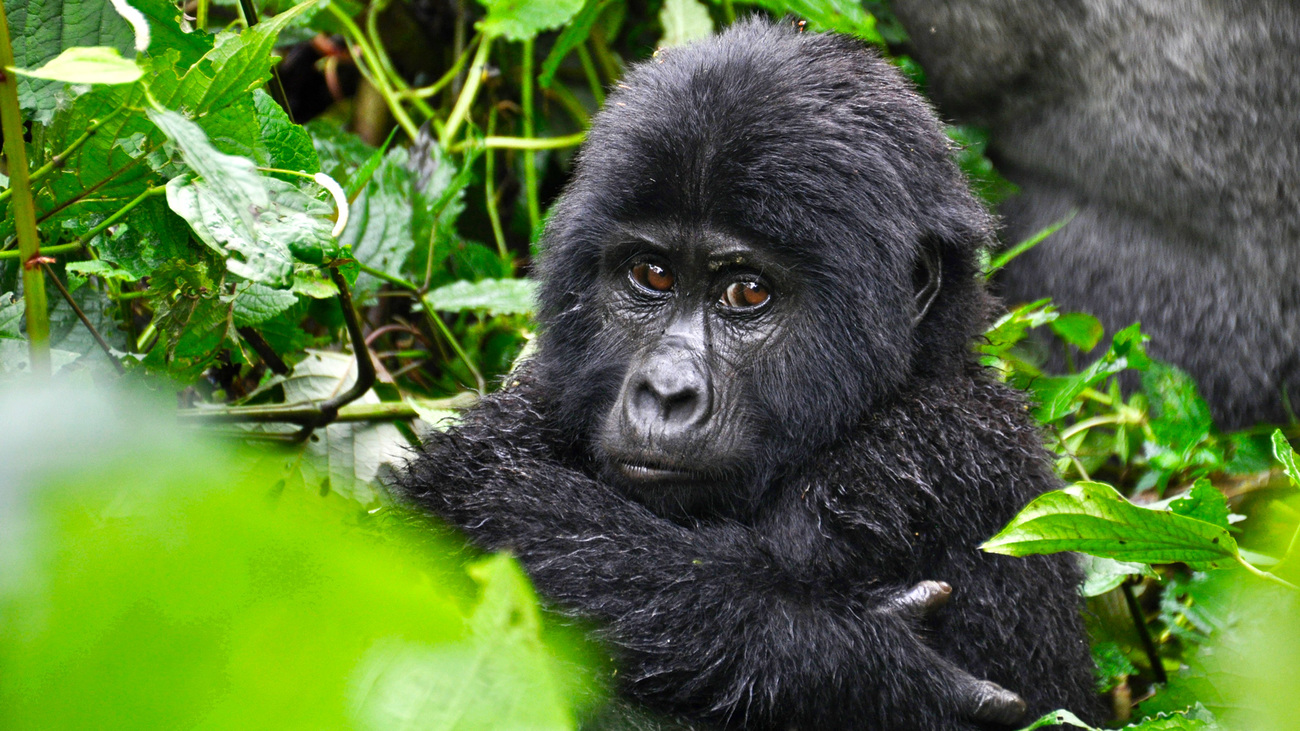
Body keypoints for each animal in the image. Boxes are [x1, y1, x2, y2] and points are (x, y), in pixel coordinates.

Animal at [395, 18, 1097, 728]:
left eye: (747, 292)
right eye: (651, 275)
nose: (665, 392)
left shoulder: (924, 454)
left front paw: (831, 653)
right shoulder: (530, 406)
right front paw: (852, 657)